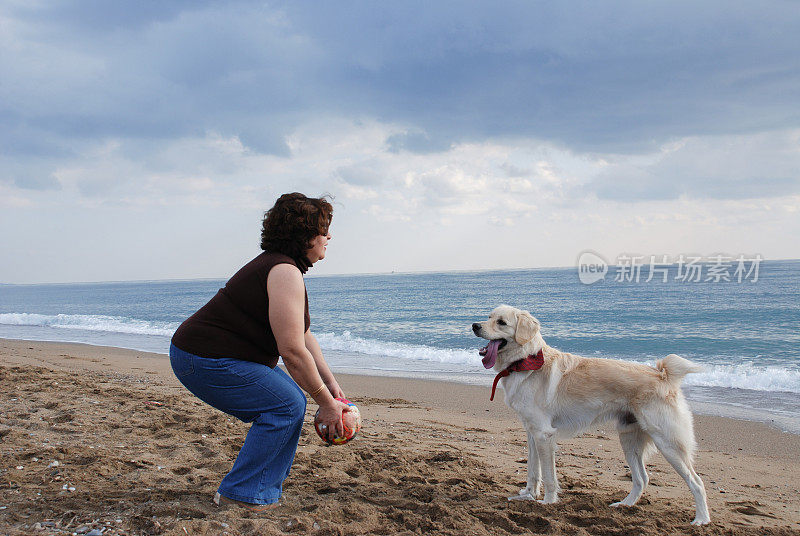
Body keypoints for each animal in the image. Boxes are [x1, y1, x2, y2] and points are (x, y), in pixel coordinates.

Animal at [472, 304, 708, 524]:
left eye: (501, 322)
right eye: (489, 317)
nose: (475, 326)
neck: (525, 362)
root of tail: (663, 375)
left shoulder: (544, 435)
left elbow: (548, 475)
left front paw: (548, 502)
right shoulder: (532, 433)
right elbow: (532, 470)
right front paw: (528, 496)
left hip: (668, 443)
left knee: (696, 483)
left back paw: (701, 520)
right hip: (629, 440)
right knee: (642, 479)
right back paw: (624, 505)